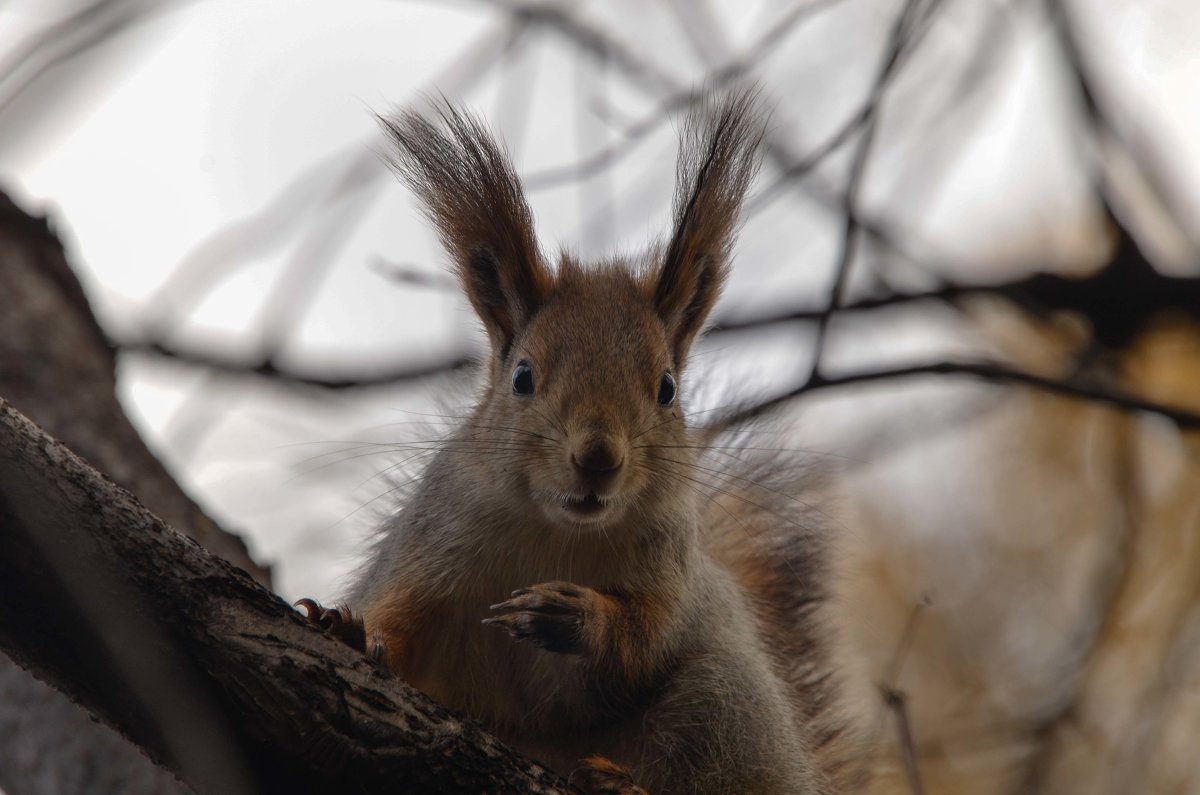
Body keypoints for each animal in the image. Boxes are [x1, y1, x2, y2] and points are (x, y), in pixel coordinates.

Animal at [300, 90, 844, 792]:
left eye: (667, 388)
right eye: (522, 377)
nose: (598, 457)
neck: (557, 532)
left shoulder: (670, 572)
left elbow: (642, 643)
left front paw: (572, 617)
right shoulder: (429, 547)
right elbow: (400, 619)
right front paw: (348, 628)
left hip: (725, 700)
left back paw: (619, 780)